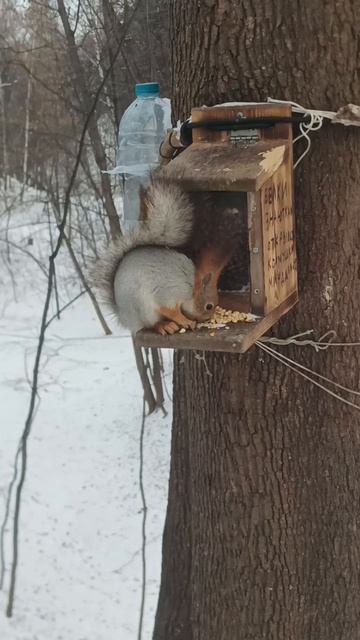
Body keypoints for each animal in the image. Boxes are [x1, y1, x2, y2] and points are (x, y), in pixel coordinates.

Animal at [93, 175, 232, 336]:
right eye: (209, 306)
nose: (208, 319)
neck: (192, 285)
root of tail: (124, 316)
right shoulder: (168, 293)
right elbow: (170, 310)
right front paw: (186, 321)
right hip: (143, 308)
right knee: (151, 324)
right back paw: (165, 325)